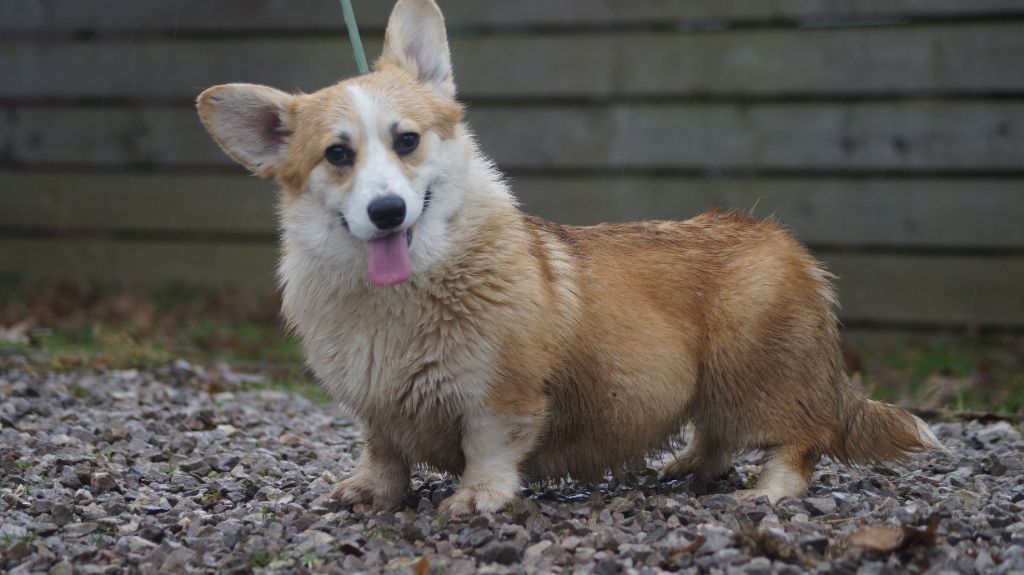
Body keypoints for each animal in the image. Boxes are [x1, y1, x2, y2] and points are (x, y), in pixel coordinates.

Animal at [195, 0, 937, 509]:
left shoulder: (500, 393)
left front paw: (478, 497)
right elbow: (383, 453)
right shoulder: (373, 406)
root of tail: (788, 246)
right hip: (719, 385)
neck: (402, 296)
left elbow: (487, 446)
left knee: (798, 439)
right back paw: (686, 467)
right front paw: (371, 492)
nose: (387, 212)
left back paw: (769, 490)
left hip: (755, 374)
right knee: (717, 434)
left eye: (406, 140)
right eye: (337, 155)